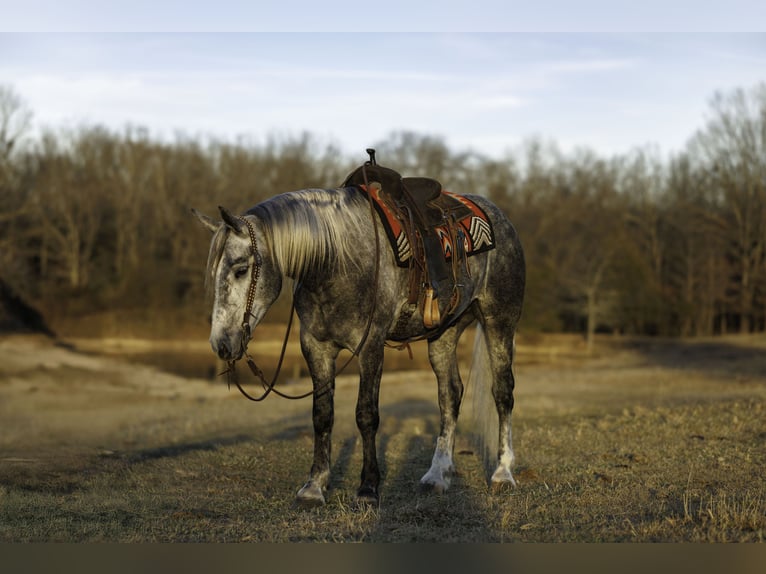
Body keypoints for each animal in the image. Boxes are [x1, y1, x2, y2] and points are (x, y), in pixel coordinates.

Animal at [192, 176, 525, 506]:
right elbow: (322, 415)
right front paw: (314, 486)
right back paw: (437, 475)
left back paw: (503, 473)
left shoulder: (370, 347)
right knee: (450, 395)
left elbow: (366, 415)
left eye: (241, 269)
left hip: (499, 322)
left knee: (502, 393)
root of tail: (499, 216)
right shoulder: (316, 347)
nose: (221, 344)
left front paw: (368, 488)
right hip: (444, 334)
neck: (336, 262)